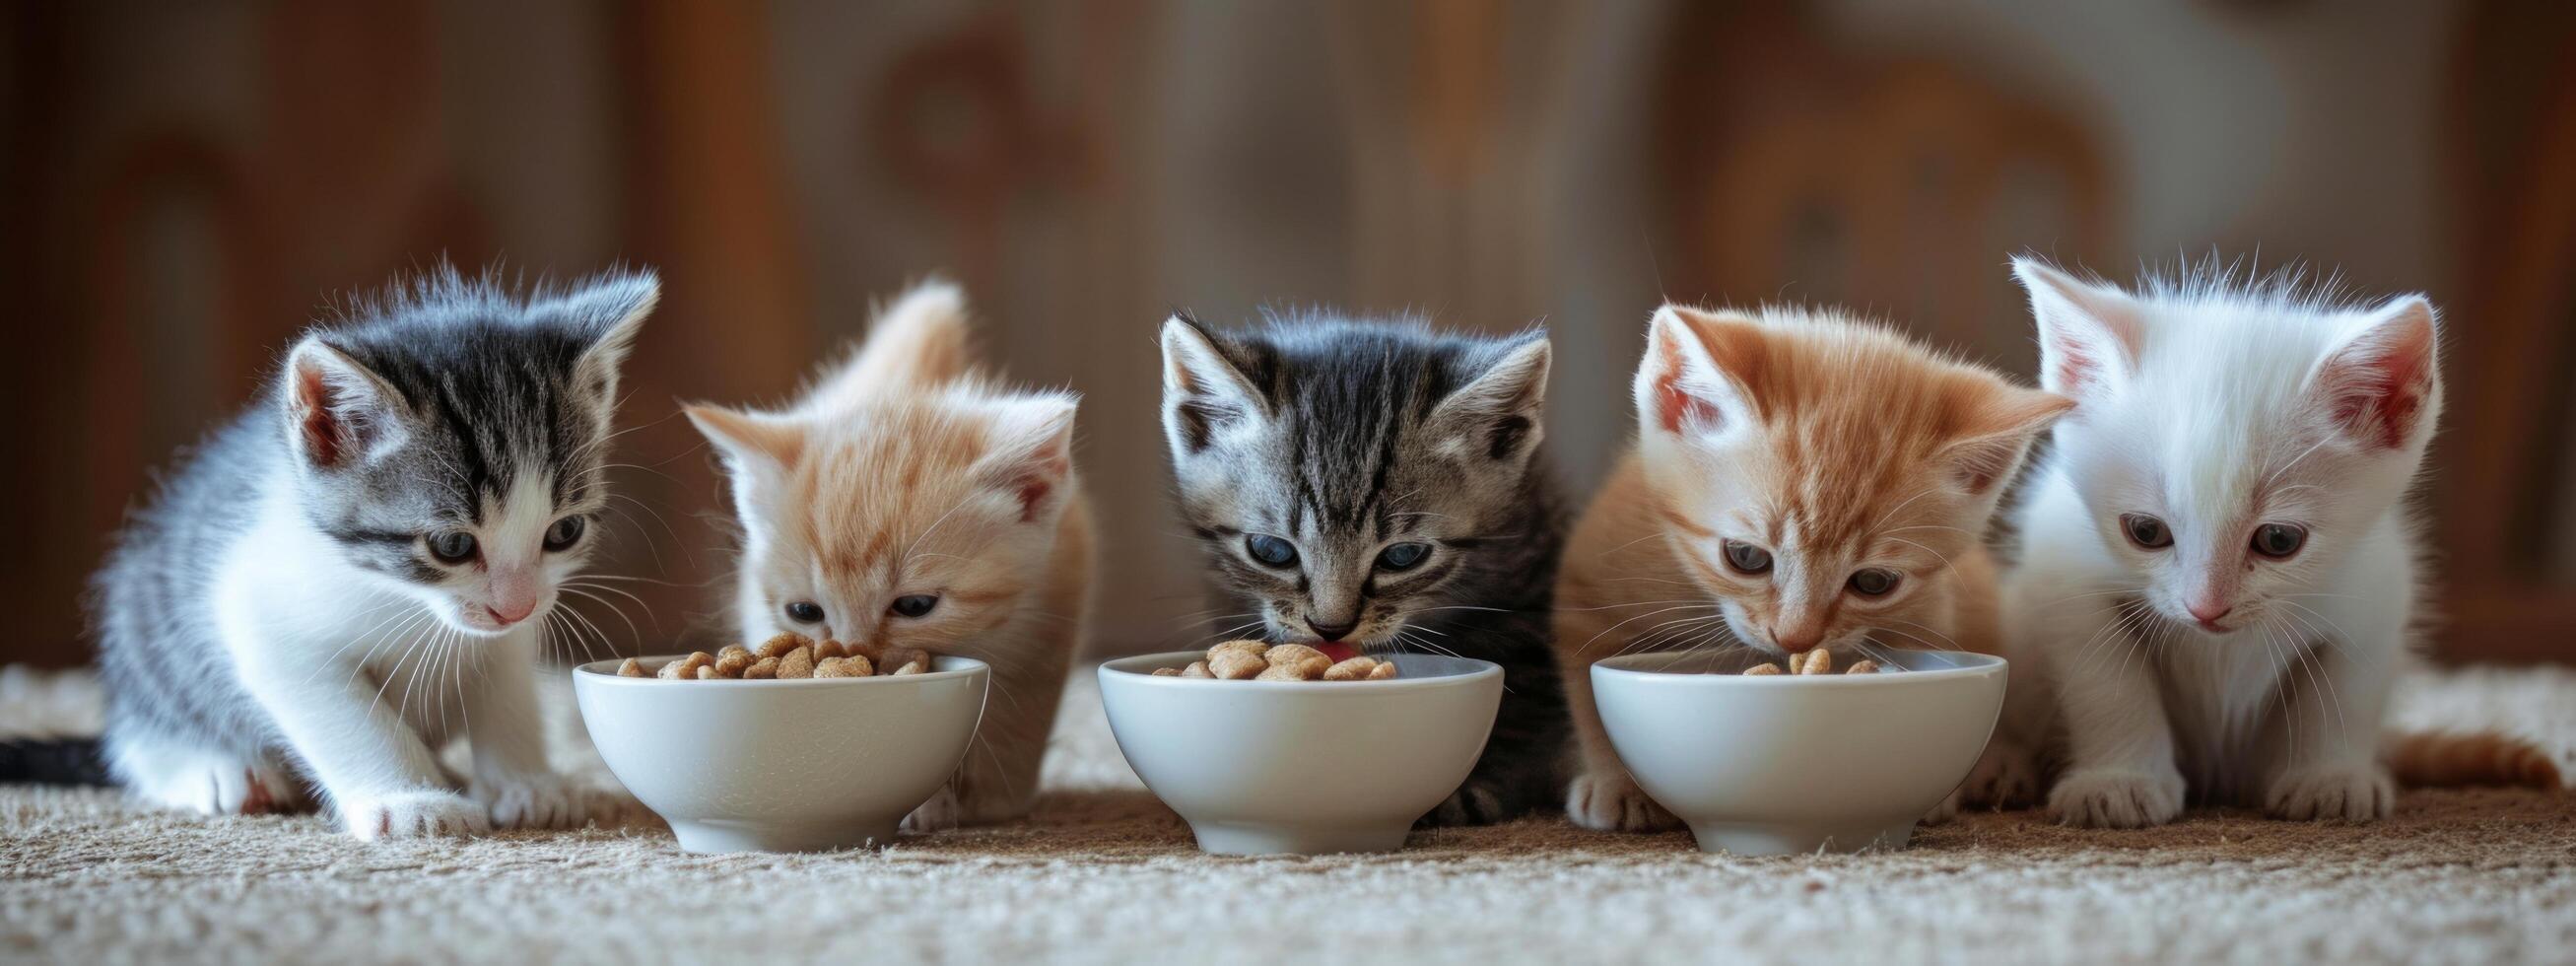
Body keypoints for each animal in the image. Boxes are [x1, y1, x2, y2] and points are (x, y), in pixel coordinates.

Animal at [87, 265, 659, 839]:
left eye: (564, 532)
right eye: (452, 545)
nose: (515, 607)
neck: (404, 599)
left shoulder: (506, 636)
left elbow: (506, 694)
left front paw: (525, 784)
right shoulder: (265, 621)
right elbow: (354, 720)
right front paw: (411, 799)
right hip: (146, 625)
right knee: (142, 735)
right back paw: (216, 769)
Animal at [685, 282, 1087, 834]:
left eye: (915, 607)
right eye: (804, 612)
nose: (855, 654)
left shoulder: (1057, 600)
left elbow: (1021, 713)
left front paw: (994, 798)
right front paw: (927, 804)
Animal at [1164, 313, 1566, 829]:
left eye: (1403, 556)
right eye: (1271, 550)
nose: (1331, 628)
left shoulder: (1531, 583)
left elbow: (1525, 692)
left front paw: (1477, 782)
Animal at [1545, 304, 2070, 834]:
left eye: (1874, 583)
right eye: (1746, 557)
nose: (1796, 638)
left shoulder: (1930, 604)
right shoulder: (1590, 586)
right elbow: (1589, 686)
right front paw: (1618, 782)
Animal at [1989, 261, 2555, 829]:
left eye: (2279, 540)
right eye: (2145, 532)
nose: (2206, 608)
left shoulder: (2374, 594)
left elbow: (2345, 692)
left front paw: (2330, 778)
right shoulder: (2069, 578)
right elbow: (2107, 686)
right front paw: (2120, 782)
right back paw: (2000, 768)